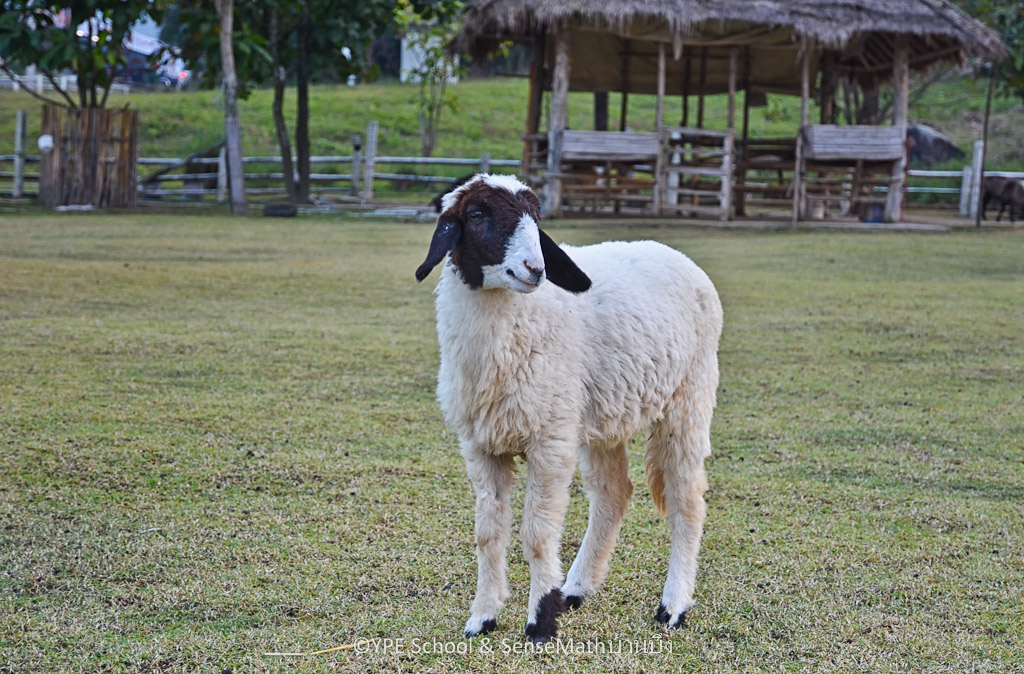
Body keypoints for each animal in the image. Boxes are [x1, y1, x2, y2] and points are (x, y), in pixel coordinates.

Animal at [415, 174, 723, 644]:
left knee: (686, 499)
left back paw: (673, 607)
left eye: (536, 218)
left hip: (689, 397)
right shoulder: (481, 445)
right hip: (604, 413)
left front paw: (540, 622)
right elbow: (488, 534)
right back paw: (576, 588)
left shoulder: (550, 441)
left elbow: (538, 536)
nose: (536, 269)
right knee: (614, 492)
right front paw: (483, 618)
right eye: (477, 214)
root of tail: (676, 255)